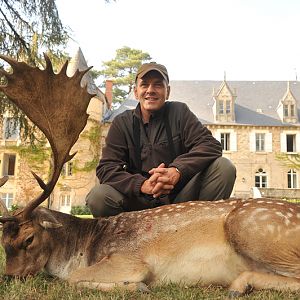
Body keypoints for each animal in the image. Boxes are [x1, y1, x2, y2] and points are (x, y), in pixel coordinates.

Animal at [0, 53, 300, 296]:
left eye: (29, 238)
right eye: (3, 242)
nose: (10, 278)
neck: (86, 247)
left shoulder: (129, 260)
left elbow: (74, 279)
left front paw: (137, 286)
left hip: (253, 228)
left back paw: (239, 283)